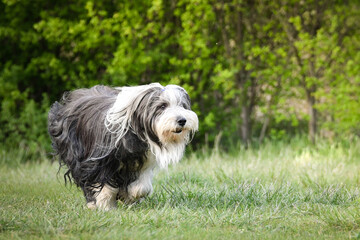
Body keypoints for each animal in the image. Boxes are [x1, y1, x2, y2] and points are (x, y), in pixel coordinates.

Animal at [47, 83, 198, 210]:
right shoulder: (99, 162)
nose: (182, 120)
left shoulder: (143, 162)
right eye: (162, 106)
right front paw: (106, 206)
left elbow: (142, 187)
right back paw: (92, 203)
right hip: (74, 152)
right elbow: (105, 187)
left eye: (182, 105)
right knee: (84, 180)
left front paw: (128, 197)